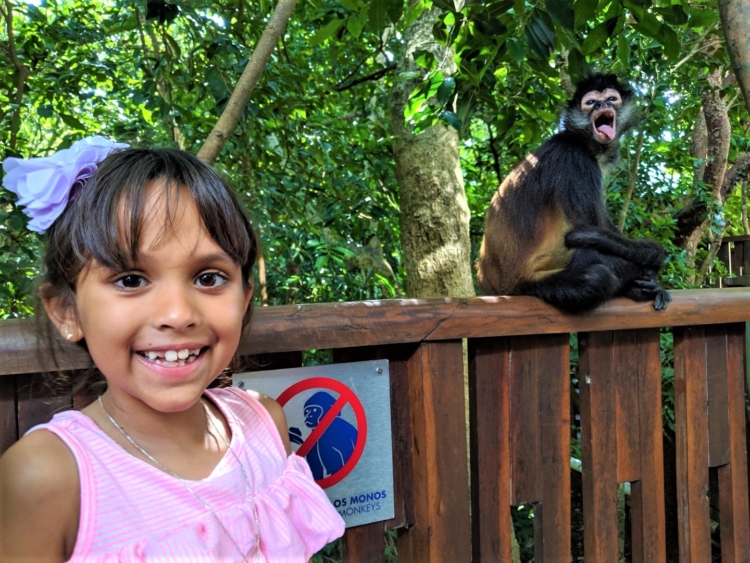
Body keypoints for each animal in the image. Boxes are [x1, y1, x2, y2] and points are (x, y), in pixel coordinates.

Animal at [478, 72, 672, 316]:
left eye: (611, 98)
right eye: (591, 102)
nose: (601, 105)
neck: (582, 141)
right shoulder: (574, 156)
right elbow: (587, 229)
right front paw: (653, 258)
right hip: (529, 284)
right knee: (597, 275)